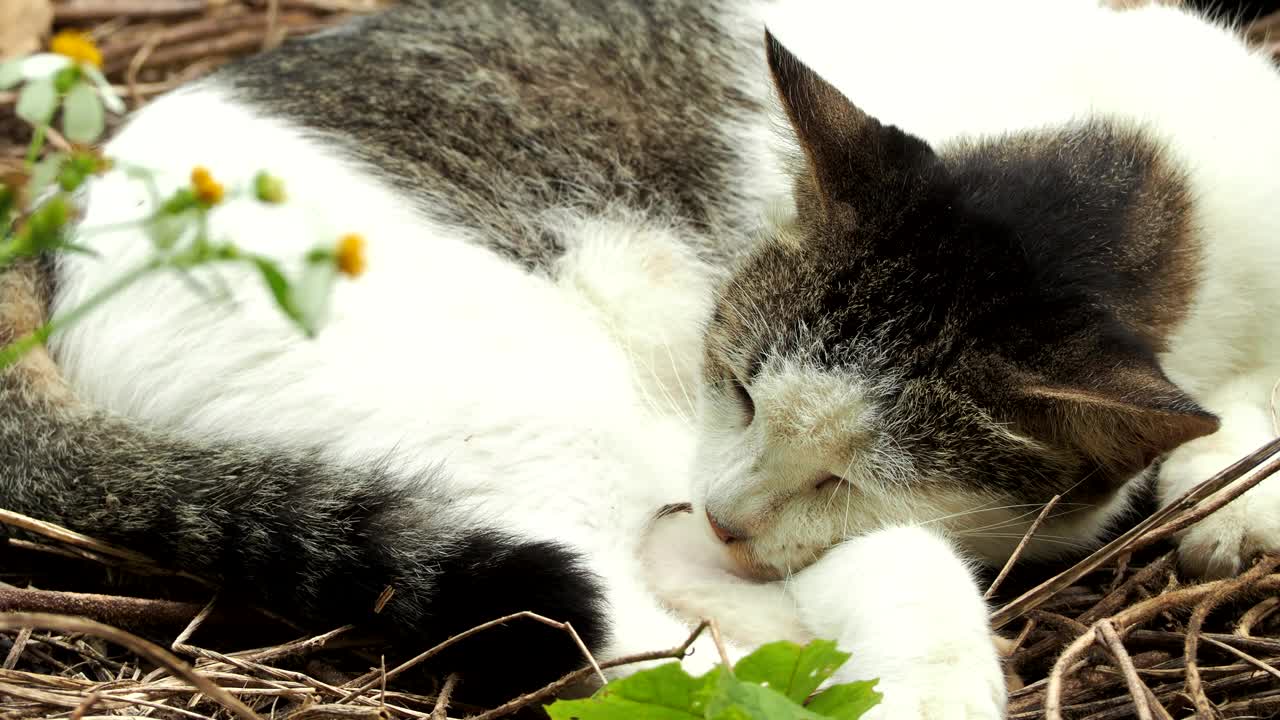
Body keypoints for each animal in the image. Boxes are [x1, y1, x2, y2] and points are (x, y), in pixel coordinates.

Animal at [2, 0, 1280, 712]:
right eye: (738, 389)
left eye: (846, 472)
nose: (728, 516)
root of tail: (57, 234)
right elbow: (868, 552)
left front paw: (1237, 490)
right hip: (545, 396)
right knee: (625, 621)